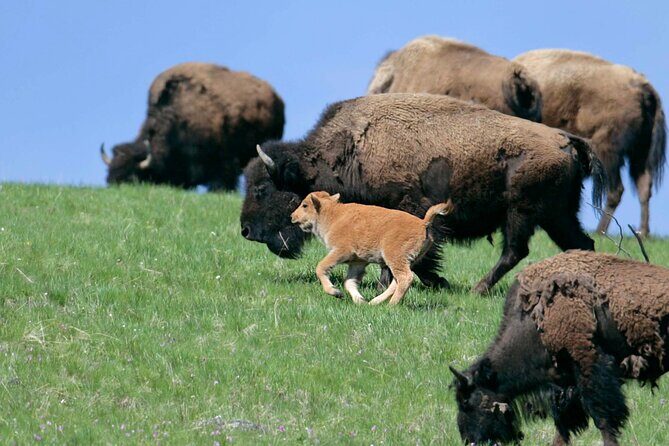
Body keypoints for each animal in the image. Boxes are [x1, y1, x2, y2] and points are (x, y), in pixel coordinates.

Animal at [241, 93, 605, 293]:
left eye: (261, 188)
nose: (245, 231)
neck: (352, 146)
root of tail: (566, 140)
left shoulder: (412, 208)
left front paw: (423, 282)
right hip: (557, 215)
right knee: (580, 243)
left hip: (523, 212)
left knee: (515, 250)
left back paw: (478, 289)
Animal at [514, 50, 666, 237]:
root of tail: (643, 87)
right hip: (640, 154)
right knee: (644, 188)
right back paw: (642, 232)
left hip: (607, 151)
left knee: (616, 190)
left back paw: (600, 231)